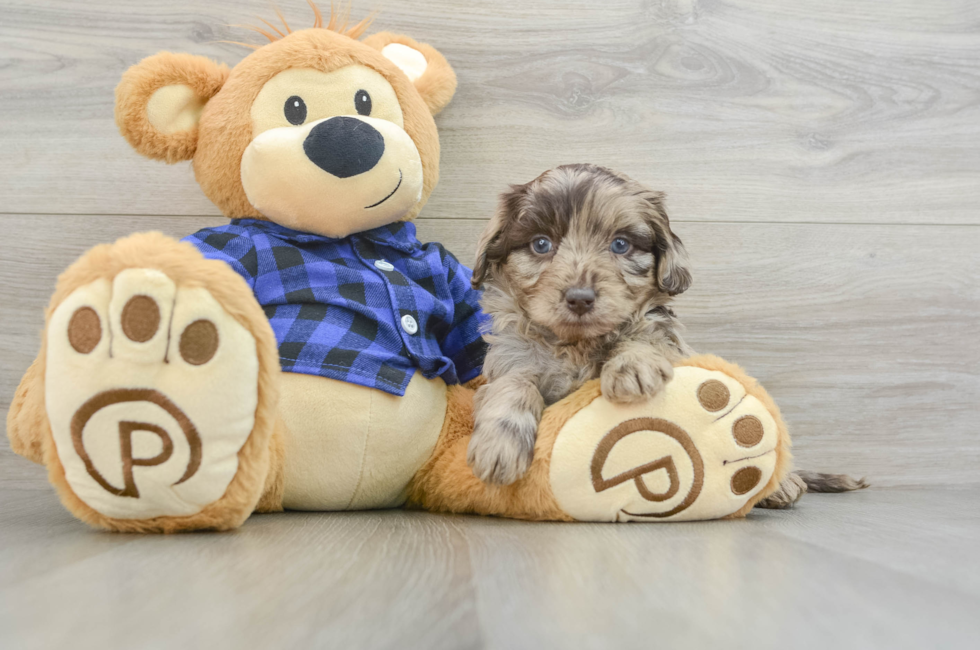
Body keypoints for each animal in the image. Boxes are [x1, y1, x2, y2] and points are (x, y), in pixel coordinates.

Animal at [468, 165, 692, 484]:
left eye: (620, 244)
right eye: (541, 244)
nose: (580, 299)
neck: (575, 344)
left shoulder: (663, 332)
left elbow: (644, 333)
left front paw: (632, 366)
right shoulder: (512, 358)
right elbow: (513, 383)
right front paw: (499, 444)